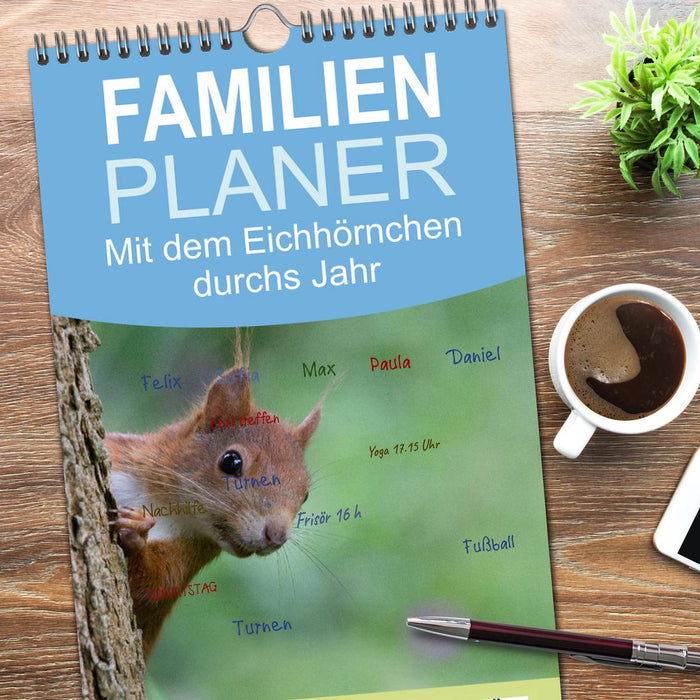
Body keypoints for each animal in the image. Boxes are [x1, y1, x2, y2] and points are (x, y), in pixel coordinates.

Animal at [106, 353, 321, 660]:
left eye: (305, 494)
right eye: (231, 461)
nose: (277, 535)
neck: (160, 503)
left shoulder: (189, 554)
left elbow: (152, 586)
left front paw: (136, 532)